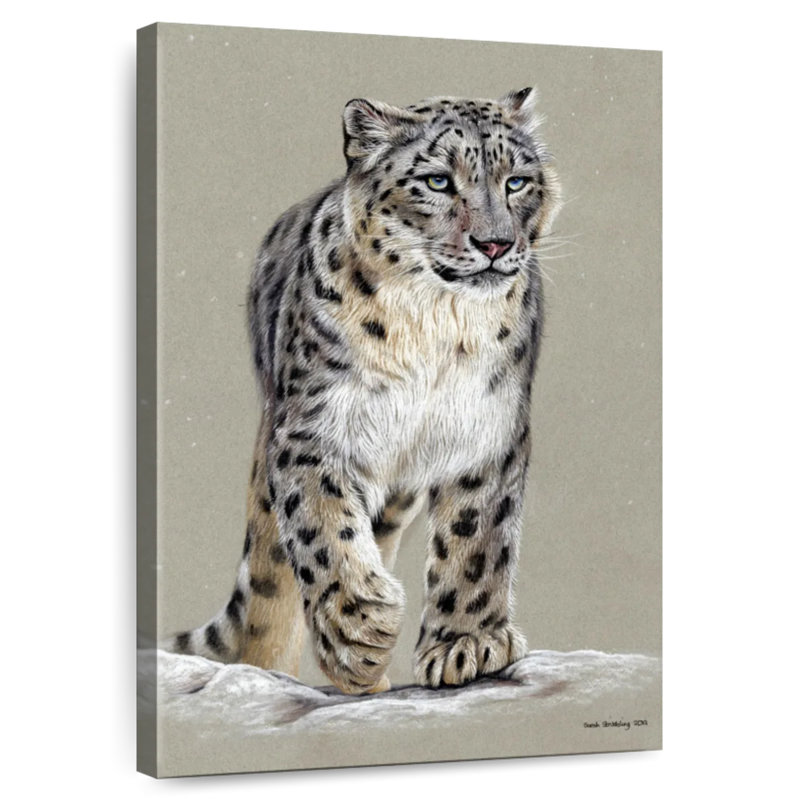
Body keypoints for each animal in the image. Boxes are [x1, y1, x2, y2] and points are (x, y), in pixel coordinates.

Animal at [167, 88, 561, 695]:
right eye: (438, 180)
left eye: (516, 181)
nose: (495, 243)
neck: (434, 324)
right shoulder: (315, 431)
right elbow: (323, 527)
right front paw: (359, 631)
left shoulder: (486, 429)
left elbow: (475, 540)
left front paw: (466, 643)